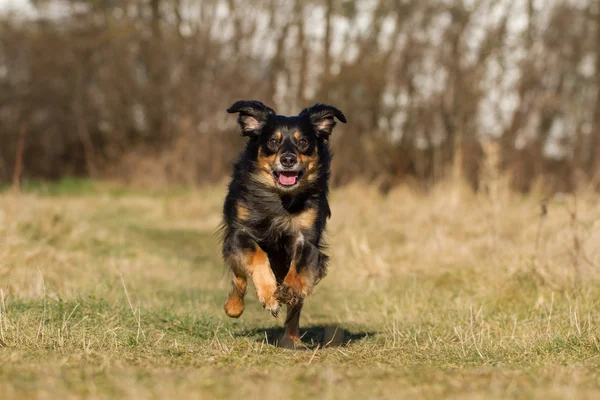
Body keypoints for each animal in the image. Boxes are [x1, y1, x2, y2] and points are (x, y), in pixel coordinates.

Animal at [220, 99, 344, 344]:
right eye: (273, 141)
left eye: (303, 142)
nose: (288, 159)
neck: (281, 197)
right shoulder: (239, 232)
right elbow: (258, 255)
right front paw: (269, 295)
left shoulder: (306, 237)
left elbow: (299, 266)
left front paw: (288, 289)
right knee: (239, 278)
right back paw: (234, 307)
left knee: (295, 310)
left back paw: (292, 339)